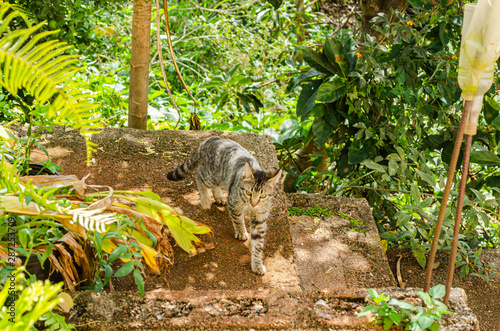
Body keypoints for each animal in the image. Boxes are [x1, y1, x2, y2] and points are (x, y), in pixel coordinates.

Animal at [167, 136, 282, 276]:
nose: (254, 203)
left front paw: (257, 263)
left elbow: (258, 243)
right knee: (199, 176)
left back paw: (219, 197)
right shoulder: (234, 203)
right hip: (211, 176)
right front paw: (241, 232)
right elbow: (238, 220)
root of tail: (209, 139)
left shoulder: (260, 218)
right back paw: (205, 200)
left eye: (263, 196)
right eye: (249, 192)